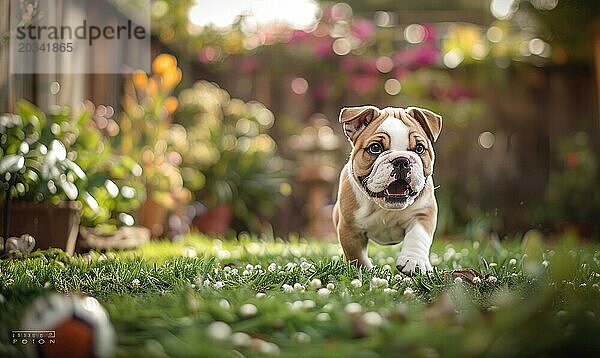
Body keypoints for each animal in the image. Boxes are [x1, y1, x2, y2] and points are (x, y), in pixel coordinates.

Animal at [332, 105, 440, 276]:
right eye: (375, 148)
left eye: (420, 148)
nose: (402, 161)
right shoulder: (349, 228)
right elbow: (355, 255)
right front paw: (364, 271)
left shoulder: (423, 213)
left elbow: (418, 236)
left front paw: (413, 261)